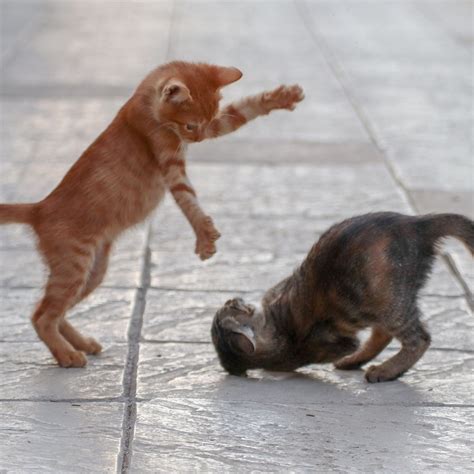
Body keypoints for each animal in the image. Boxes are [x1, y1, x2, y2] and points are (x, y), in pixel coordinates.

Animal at [0, 61, 304, 368]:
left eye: (206, 122)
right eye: (190, 125)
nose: (198, 138)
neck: (142, 105)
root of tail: (39, 208)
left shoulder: (213, 127)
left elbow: (242, 110)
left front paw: (279, 97)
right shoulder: (170, 164)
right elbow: (188, 200)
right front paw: (204, 236)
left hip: (91, 273)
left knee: (53, 311)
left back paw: (81, 343)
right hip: (73, 267)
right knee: (41, 316)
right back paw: (67, 354)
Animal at [214, 213, 474, 384]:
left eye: (230, 307)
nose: (232, 300)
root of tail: (416, 224)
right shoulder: (341, 342)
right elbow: (355, 343)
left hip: (386, 301)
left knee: (412, 337)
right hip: (387, 301)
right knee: (410, 337)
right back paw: (378, 369)